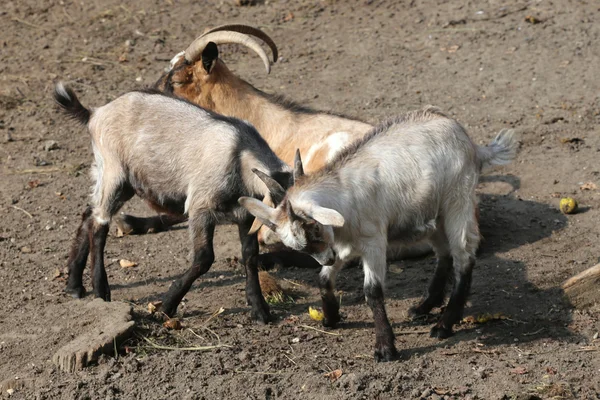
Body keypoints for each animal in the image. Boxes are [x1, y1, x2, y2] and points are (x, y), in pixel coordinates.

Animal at [241, 107, 516, 362]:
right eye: (299, 245)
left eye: (314, 228)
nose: (327, 259)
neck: (344, 194)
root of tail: (472, 144)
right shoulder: (344, 245)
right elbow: (324, 278)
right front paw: (330, 318)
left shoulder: (373, 242)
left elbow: (372, 291)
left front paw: (385, 348)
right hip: (433, 214)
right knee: (444, 254)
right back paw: (424, 307)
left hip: (457, 202)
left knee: (463, 256)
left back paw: (444, 325)